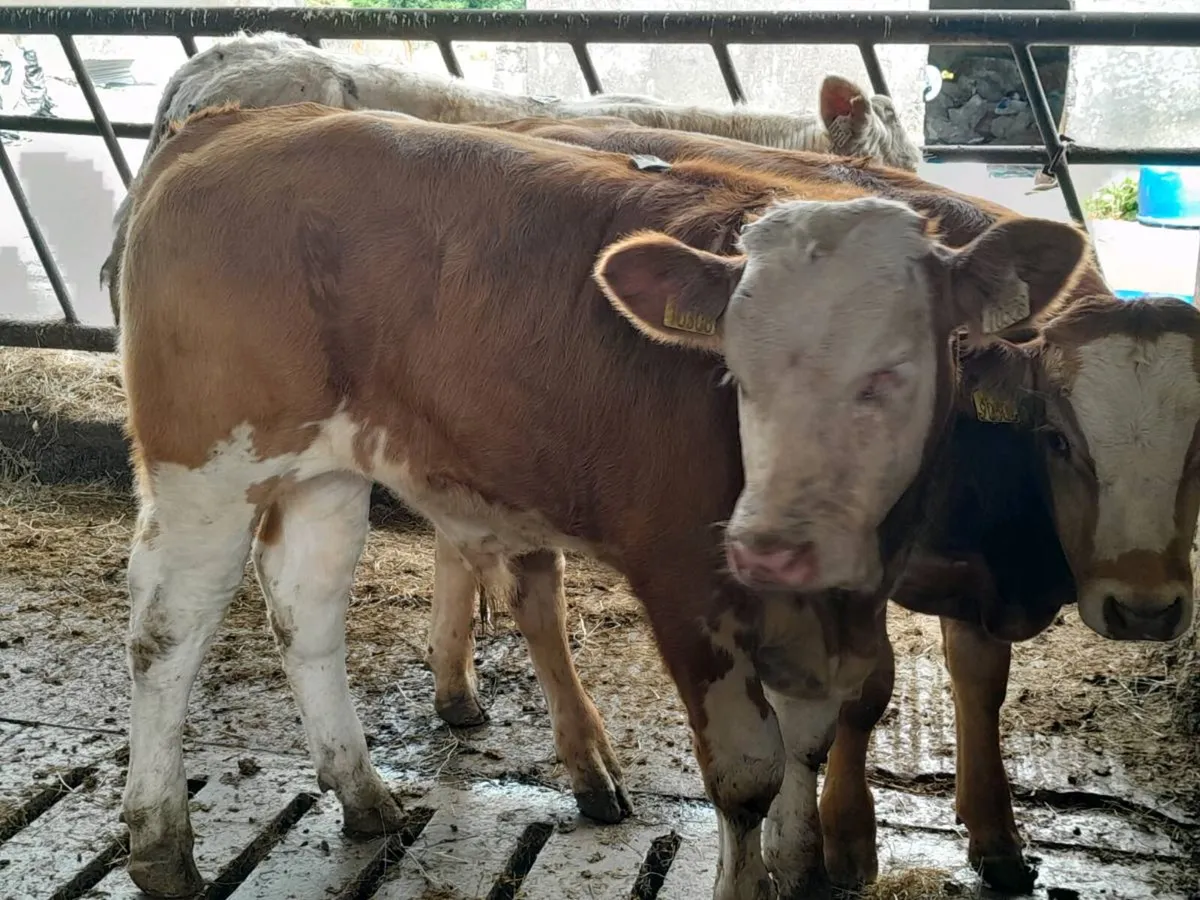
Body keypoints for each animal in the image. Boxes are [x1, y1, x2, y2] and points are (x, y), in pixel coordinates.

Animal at [113, 101, 1083, 899]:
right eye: (735, 370)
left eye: (895, 370)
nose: (770, 545)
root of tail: (241, 122)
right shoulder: (687, 582)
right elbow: (749, 772)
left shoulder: (838, 608)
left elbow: (809, 740)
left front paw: (802, 868)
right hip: (207, 460)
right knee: (166, 633)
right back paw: (161, 847)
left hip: (328, 469)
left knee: (306, 612)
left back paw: (362, 794)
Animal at [425, 116, 1199, 892]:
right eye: (1057, 437)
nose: (1145, 608)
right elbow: (868, 691)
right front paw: (847, 838)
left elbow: (979, 686)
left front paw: (995, 834)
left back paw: (455, 689)